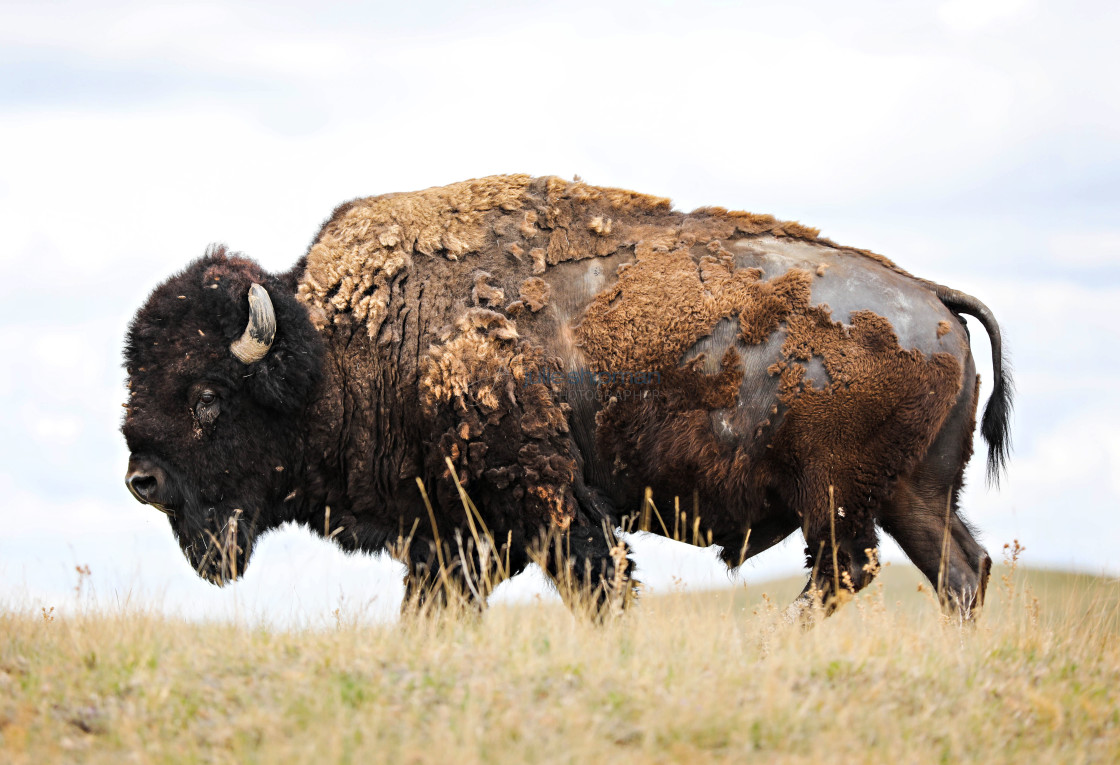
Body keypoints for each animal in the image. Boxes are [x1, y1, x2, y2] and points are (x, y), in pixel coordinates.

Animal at [122, 176, 1008, 618]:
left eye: (207, 395)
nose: (142, 479)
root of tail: (931, 295)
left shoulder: (546, 501)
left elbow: (598, 582)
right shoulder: (452, 531)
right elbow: (434, 606)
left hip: (839, 496)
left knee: (844, 573)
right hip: (913, 491)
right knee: (960, 568)